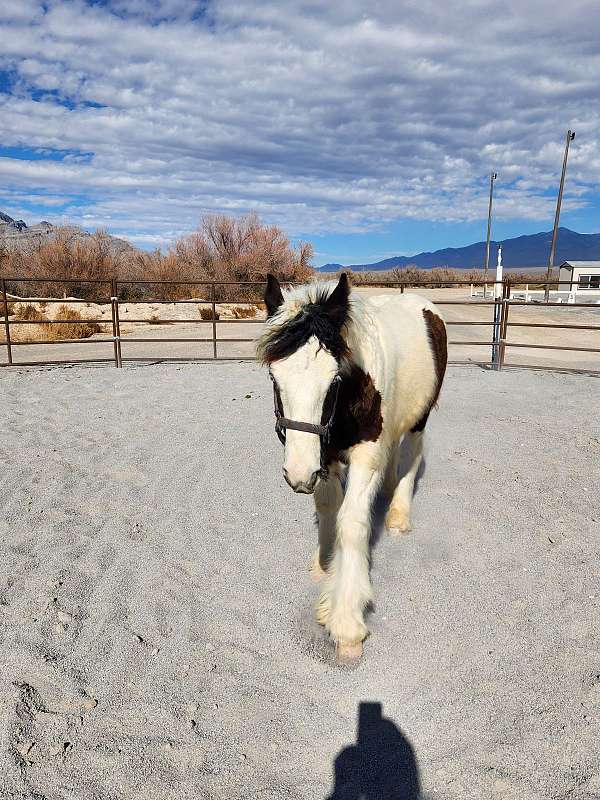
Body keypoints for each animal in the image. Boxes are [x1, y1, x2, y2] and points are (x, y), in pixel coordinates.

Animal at [258, 272, 446, 660]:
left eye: (334, 379)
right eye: (273, 377)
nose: (298, 474)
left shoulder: (365, 455)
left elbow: (353, 523)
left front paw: (345, 619)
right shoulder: (325, 452)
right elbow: (329, 506)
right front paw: (326, 564)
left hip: (420, 418)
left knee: (412, 455)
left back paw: (398, 515)